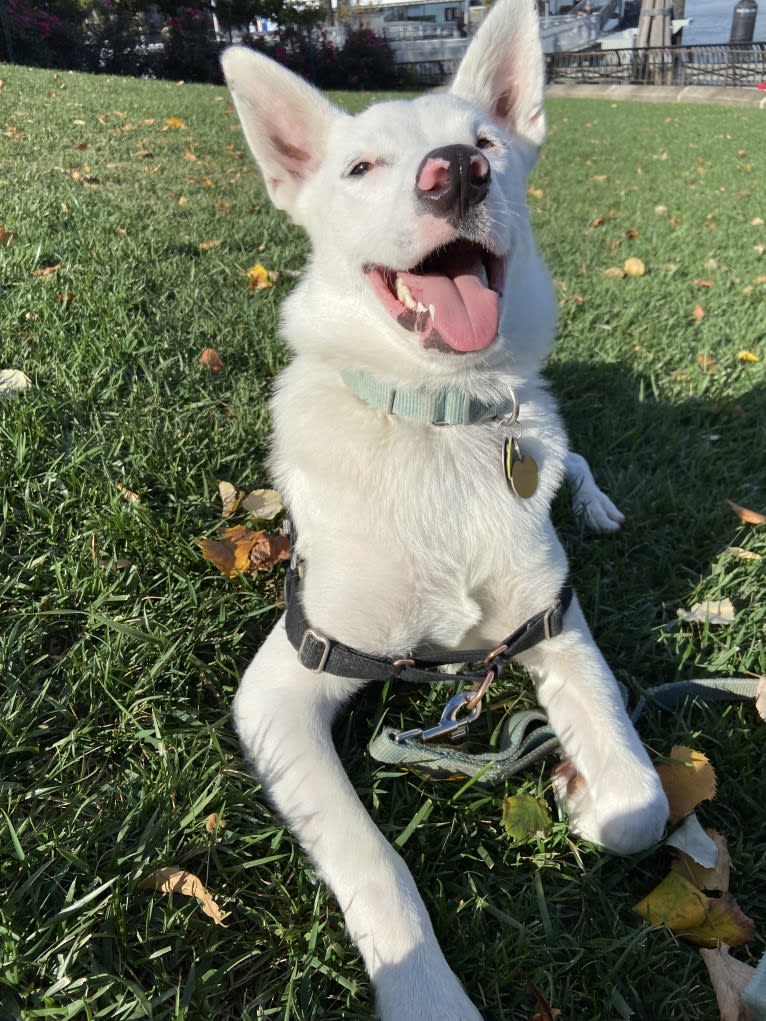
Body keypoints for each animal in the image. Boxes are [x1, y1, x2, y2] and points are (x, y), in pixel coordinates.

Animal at [223, 1, 669, 1012]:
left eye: (486, 141)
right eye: (360, 167)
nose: (456, 171)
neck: (438, 421)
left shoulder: (556, 624)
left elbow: (647, 803)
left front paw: (586, 787)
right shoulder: (280, 693)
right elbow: (378, 865)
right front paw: (425, 991)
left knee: (575, 454)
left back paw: (598, 504)